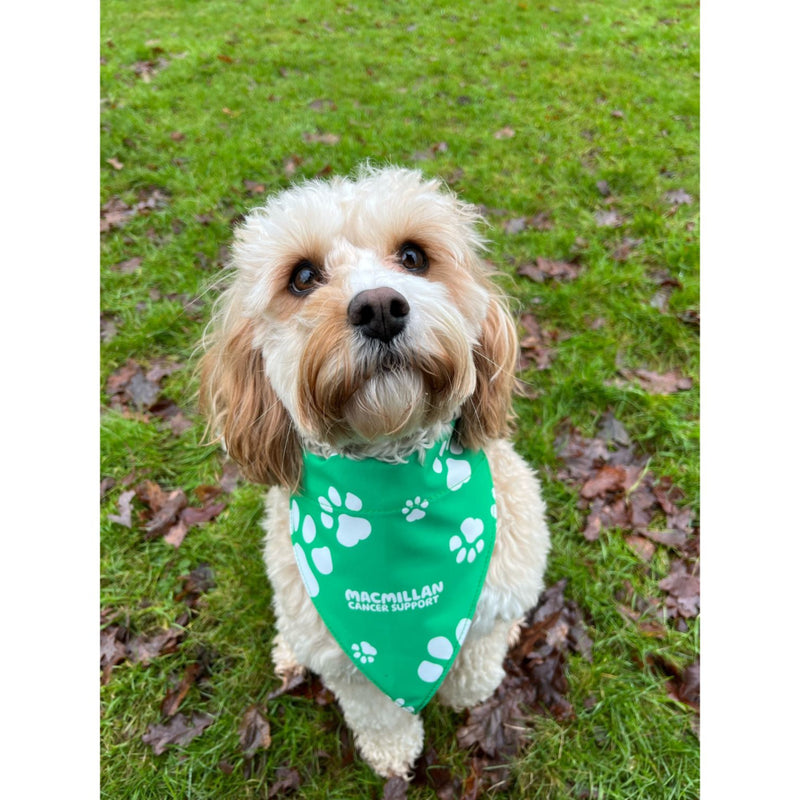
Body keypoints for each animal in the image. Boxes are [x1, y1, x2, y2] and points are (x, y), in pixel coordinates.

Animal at [200, 166, 552, 780]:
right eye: (302, 277)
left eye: (413, 256)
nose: (381, 307)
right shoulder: (348, 662)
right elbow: (378, 713)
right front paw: (393, 753)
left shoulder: (498, 590)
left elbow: (475, 667)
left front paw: (466, 690)